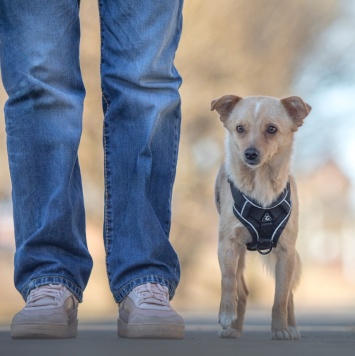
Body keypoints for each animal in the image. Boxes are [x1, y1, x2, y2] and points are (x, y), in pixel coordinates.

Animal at [211, 94, 312, 340]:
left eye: (271, 129)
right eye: (240, 128)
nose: (250, 154)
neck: (260, 185)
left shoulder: (285, 251)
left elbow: (280, 298)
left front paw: (281, 329)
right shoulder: (227, 244)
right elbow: (227, 280)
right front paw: (226, 314)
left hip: (287, 259)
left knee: (288, 294)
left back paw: (291, 327)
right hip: (240, 255)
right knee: (242, 289)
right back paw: (234, 328)